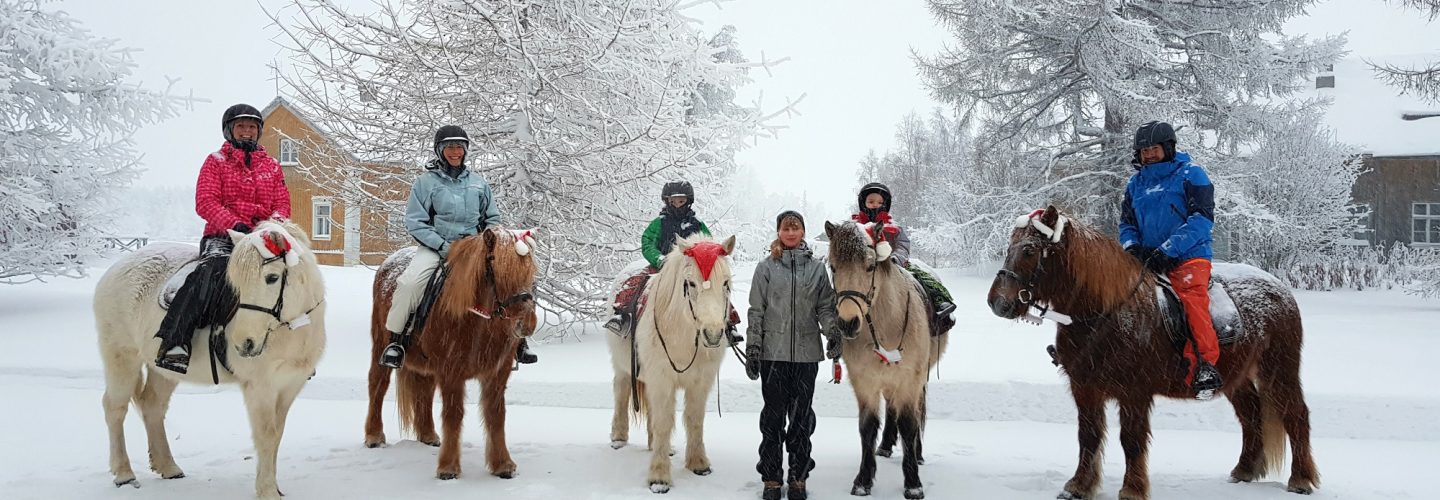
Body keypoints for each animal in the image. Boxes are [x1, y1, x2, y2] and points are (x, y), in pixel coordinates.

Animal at [97, 223, 328, 500]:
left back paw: (168, 467)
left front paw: (275, 487)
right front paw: (267, 490)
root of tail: (117, 268)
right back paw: (123, 473)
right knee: (115, 408)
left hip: (163, 369)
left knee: (153, 406)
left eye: (272, 278)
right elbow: (266, 435)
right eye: (235, 283)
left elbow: (277, 434)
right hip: (121, 355)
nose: (244, 344)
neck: (290, 329)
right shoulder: (260, 387)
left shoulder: (289, 386)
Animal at [362, 227, 538, 481]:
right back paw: (374, 435)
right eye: (496, 266)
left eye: (531, 269)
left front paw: (503, 464)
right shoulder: (451, 371)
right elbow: (453, 415)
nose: (527, 323)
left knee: (423, 391)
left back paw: (428, 434)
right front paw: (448, 467)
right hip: (380, 345)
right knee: (378, 384)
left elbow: (496, 415)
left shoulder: (497, 373)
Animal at [607, 233, 737, 492]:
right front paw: (659, 478)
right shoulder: (662, 381)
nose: (713, 334)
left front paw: (699, 464)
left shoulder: (699, 383)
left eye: (726, 283)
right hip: (623, 367)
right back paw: (618, 438)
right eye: (691, 284)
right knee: (621, 392)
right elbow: (664, 422)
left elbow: (694, 420)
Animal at [990, 206, 1319, 500]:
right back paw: (1244, 470)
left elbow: (1132, 439)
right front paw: (1079, 486)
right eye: (1010, 246)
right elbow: (1088, 436)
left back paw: (1301, 478)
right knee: (1251, 415)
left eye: (1030, 250)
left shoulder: (1134, 392)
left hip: (1279, 370)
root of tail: (1280, 288)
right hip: (1235, 378)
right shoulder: (1085, 388)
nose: (998, 302)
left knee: (1295, 415)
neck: (1106, 313)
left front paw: (1132, 489)